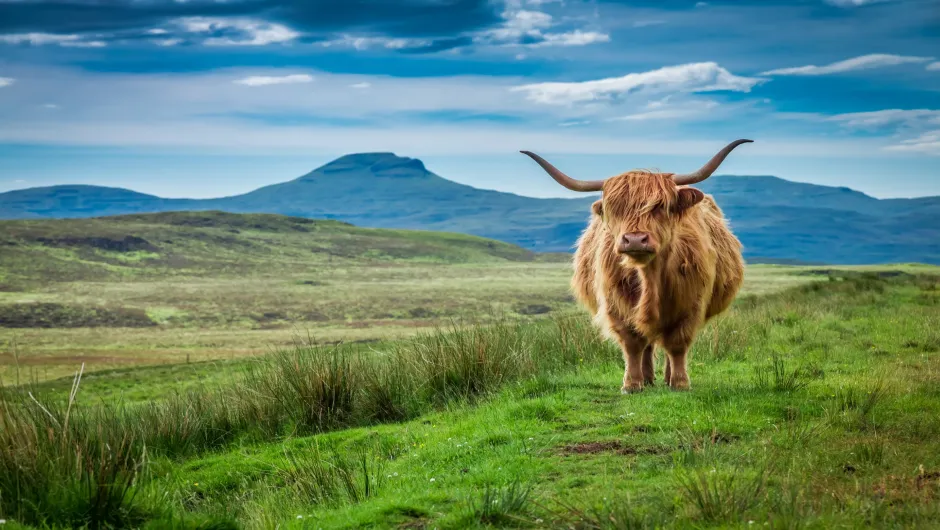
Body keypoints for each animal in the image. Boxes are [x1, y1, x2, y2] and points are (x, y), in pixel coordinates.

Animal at [520, 140, 748, 392]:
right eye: (615, 208)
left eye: (660, 206)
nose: (635, 239)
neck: (650, 278)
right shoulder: (616, 304)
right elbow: (632, 343)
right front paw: (631, 384)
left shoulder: (691, 303)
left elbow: (677, 344)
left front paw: (680, 383)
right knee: (646, 343)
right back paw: (647, 378)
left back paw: (666, 377)